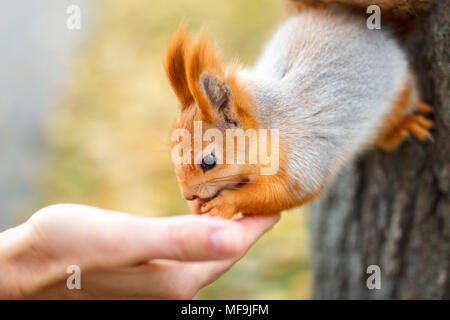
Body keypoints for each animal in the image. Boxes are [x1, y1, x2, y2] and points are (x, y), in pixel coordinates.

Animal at [164, 0, 432, 219]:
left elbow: (285, 193)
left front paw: (225, 203)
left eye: (209, 161)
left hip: (398, 98)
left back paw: (405, 126)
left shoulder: (304, 158)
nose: (188, 195)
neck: (270, 127)